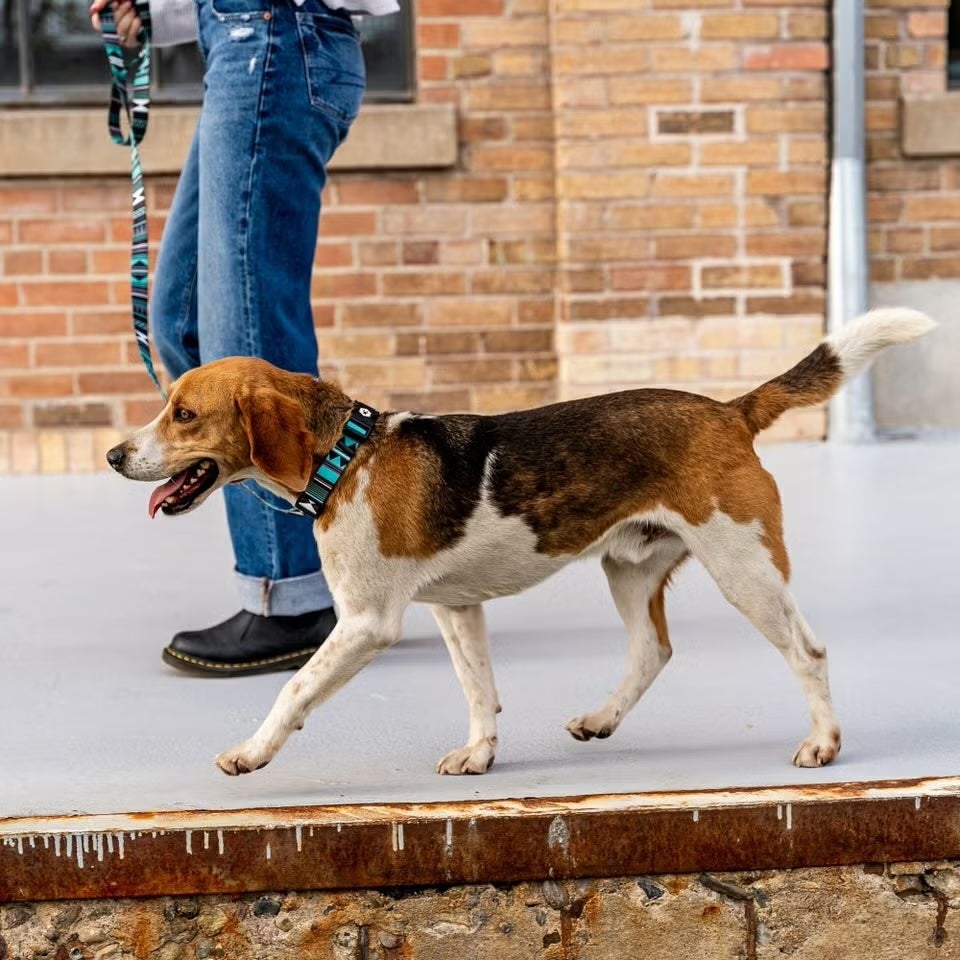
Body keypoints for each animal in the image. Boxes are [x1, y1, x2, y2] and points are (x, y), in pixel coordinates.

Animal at [107, 307, 934, 778]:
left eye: (184, 414)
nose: (115, 456)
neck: (347, 456)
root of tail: (729, 411)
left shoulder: (368, 624)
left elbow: (294, 688)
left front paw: (252, 753)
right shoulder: (455, 609)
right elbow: (480, 690)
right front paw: (480, 754)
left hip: (745, 567)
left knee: (808, 652)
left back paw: (824, 743)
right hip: (630, 567)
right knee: (652, 651)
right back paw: (602, 719)